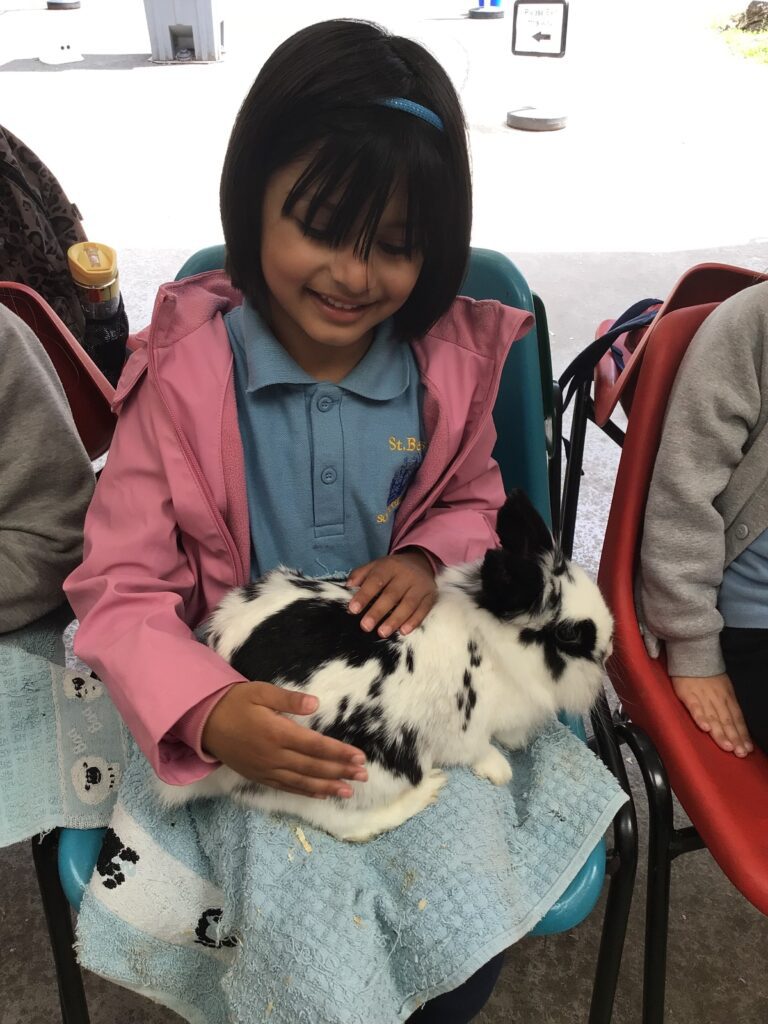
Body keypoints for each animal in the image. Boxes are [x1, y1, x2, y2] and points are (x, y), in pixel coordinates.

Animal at [154, 490, 614, 842]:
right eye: (569, 635)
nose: (609, 650)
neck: (491, 645)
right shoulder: (466, 731)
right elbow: (479, 751)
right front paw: (500, 771)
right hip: (355, 771)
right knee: (345, 826)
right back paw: (426, 791)